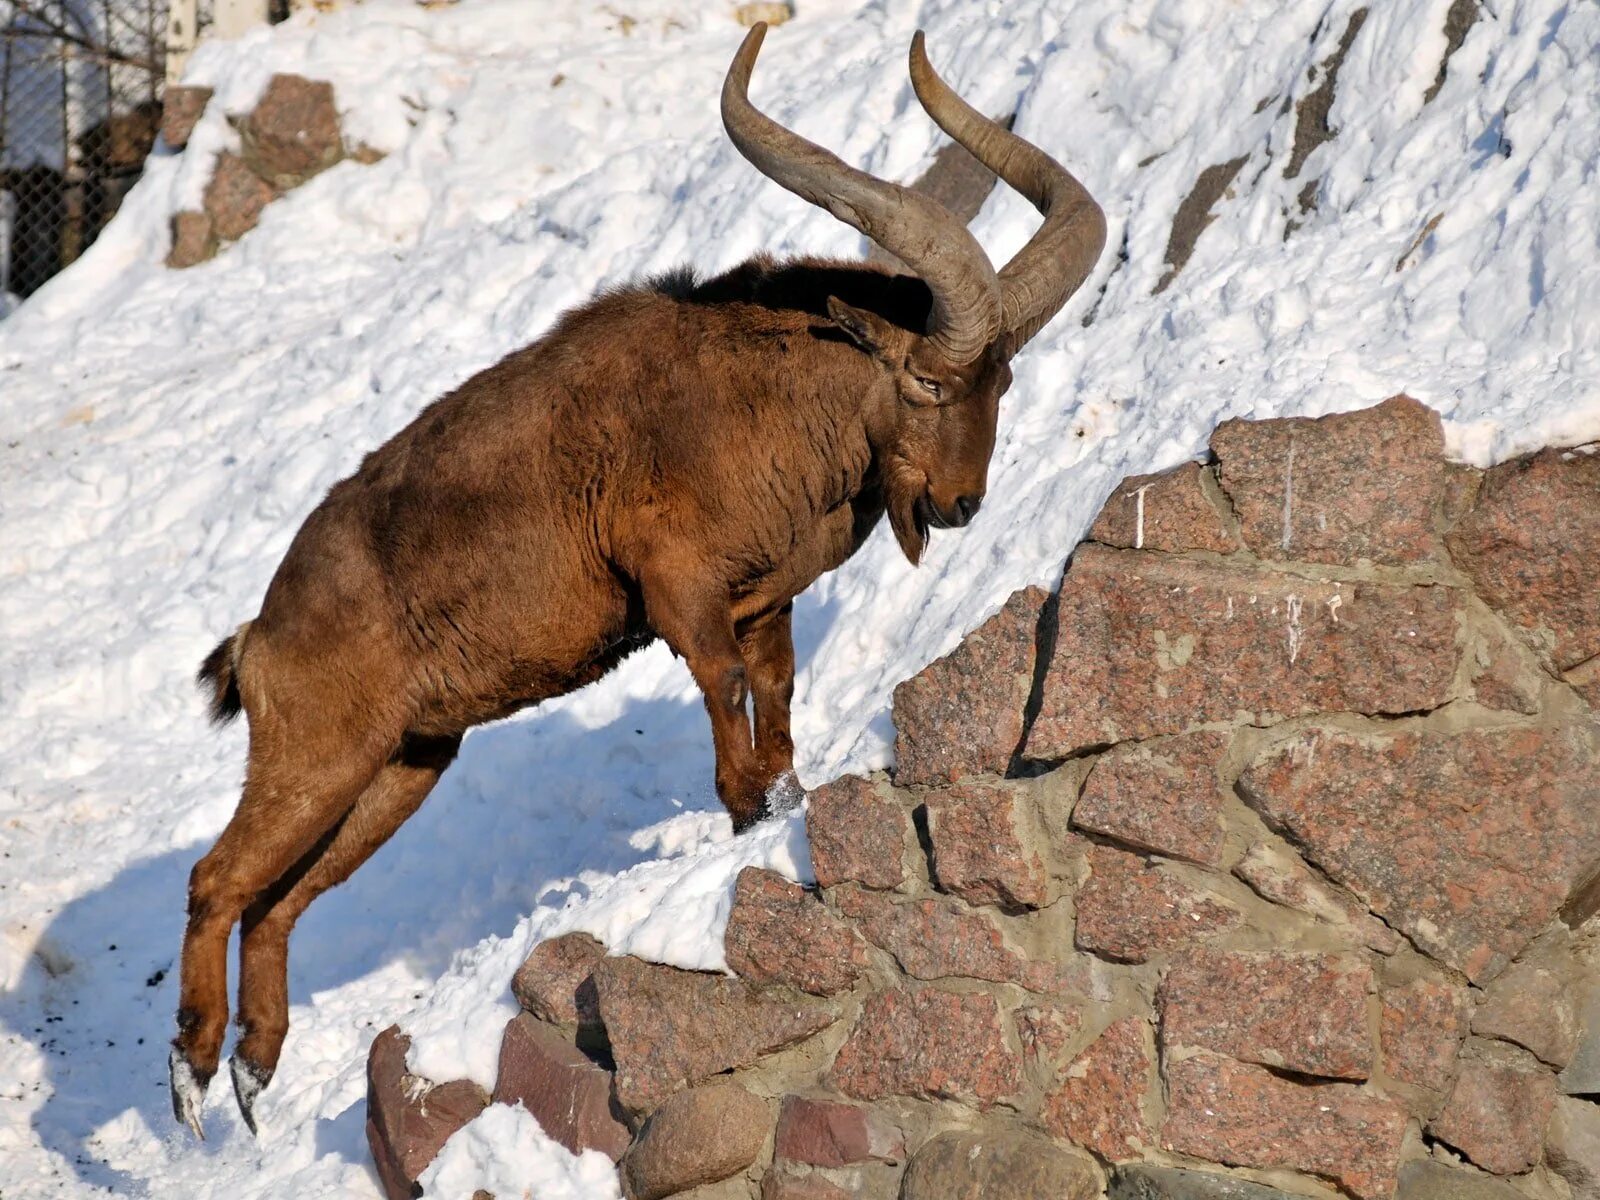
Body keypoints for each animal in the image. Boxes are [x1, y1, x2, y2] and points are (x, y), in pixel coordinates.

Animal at [168, 23, 1107, 1139]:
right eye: (927, 378)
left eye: (1000, 381)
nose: (962, 503)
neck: (756, 395)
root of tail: (261, 639)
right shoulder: (677, 585)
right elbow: (725, 688)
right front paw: (743, 810)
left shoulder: (764, 602)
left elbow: (776, 696)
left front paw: (777, 803)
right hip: (319, 750)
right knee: (216, 878)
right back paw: (190, 1075)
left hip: (402, 765)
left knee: (277, 901)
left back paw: (254, 1070)